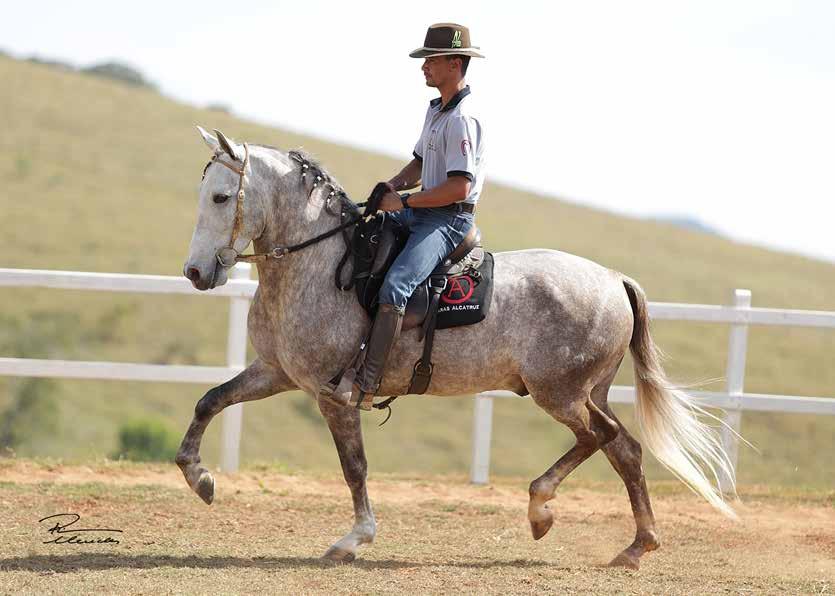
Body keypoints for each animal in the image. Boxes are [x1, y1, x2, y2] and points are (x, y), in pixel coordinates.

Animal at [176, 128, 740, 572]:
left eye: (221, 197)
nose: (196, 272)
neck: (321, 263)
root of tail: (614, 279)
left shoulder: (334, 395)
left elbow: (354, 467)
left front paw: (354, 539)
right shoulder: (276, 371)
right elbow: (210, 400)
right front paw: (199, 477)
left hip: (560, 393)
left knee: (601, 438)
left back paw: (543, 508)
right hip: (587, 391)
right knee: (624, 449)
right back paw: (633, 545)